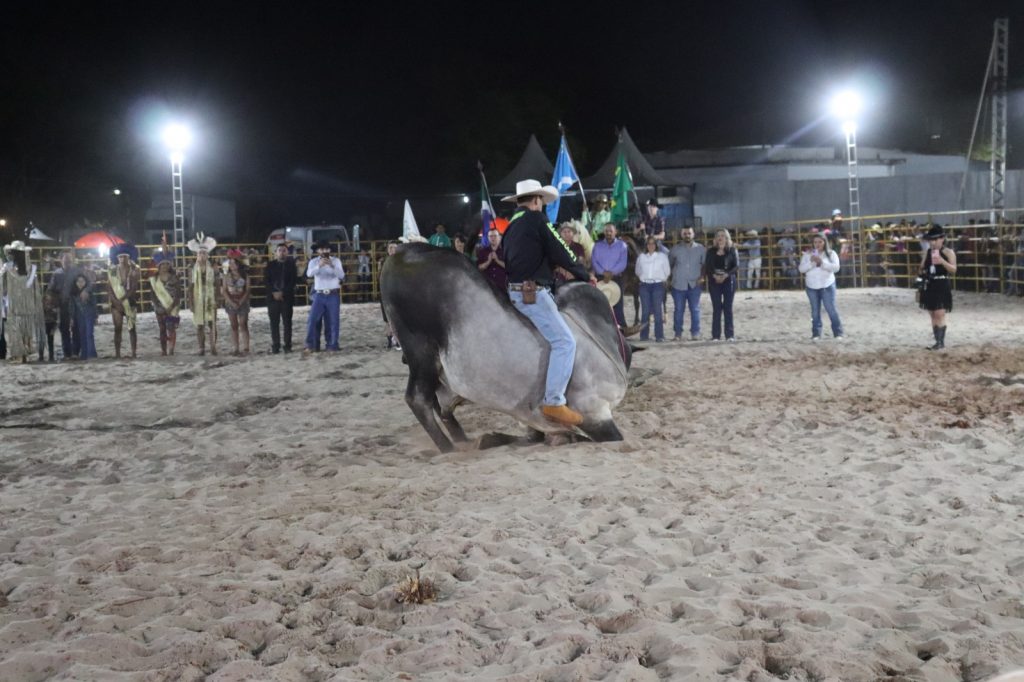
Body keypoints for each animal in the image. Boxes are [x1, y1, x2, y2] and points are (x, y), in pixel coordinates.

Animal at [380, 241, 626, 448]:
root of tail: (401, 252)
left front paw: (492, 439)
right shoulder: (594, 410)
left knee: (441, 406)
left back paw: (464, 441)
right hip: (420, 350)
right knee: (418, 399)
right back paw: (448, 448)